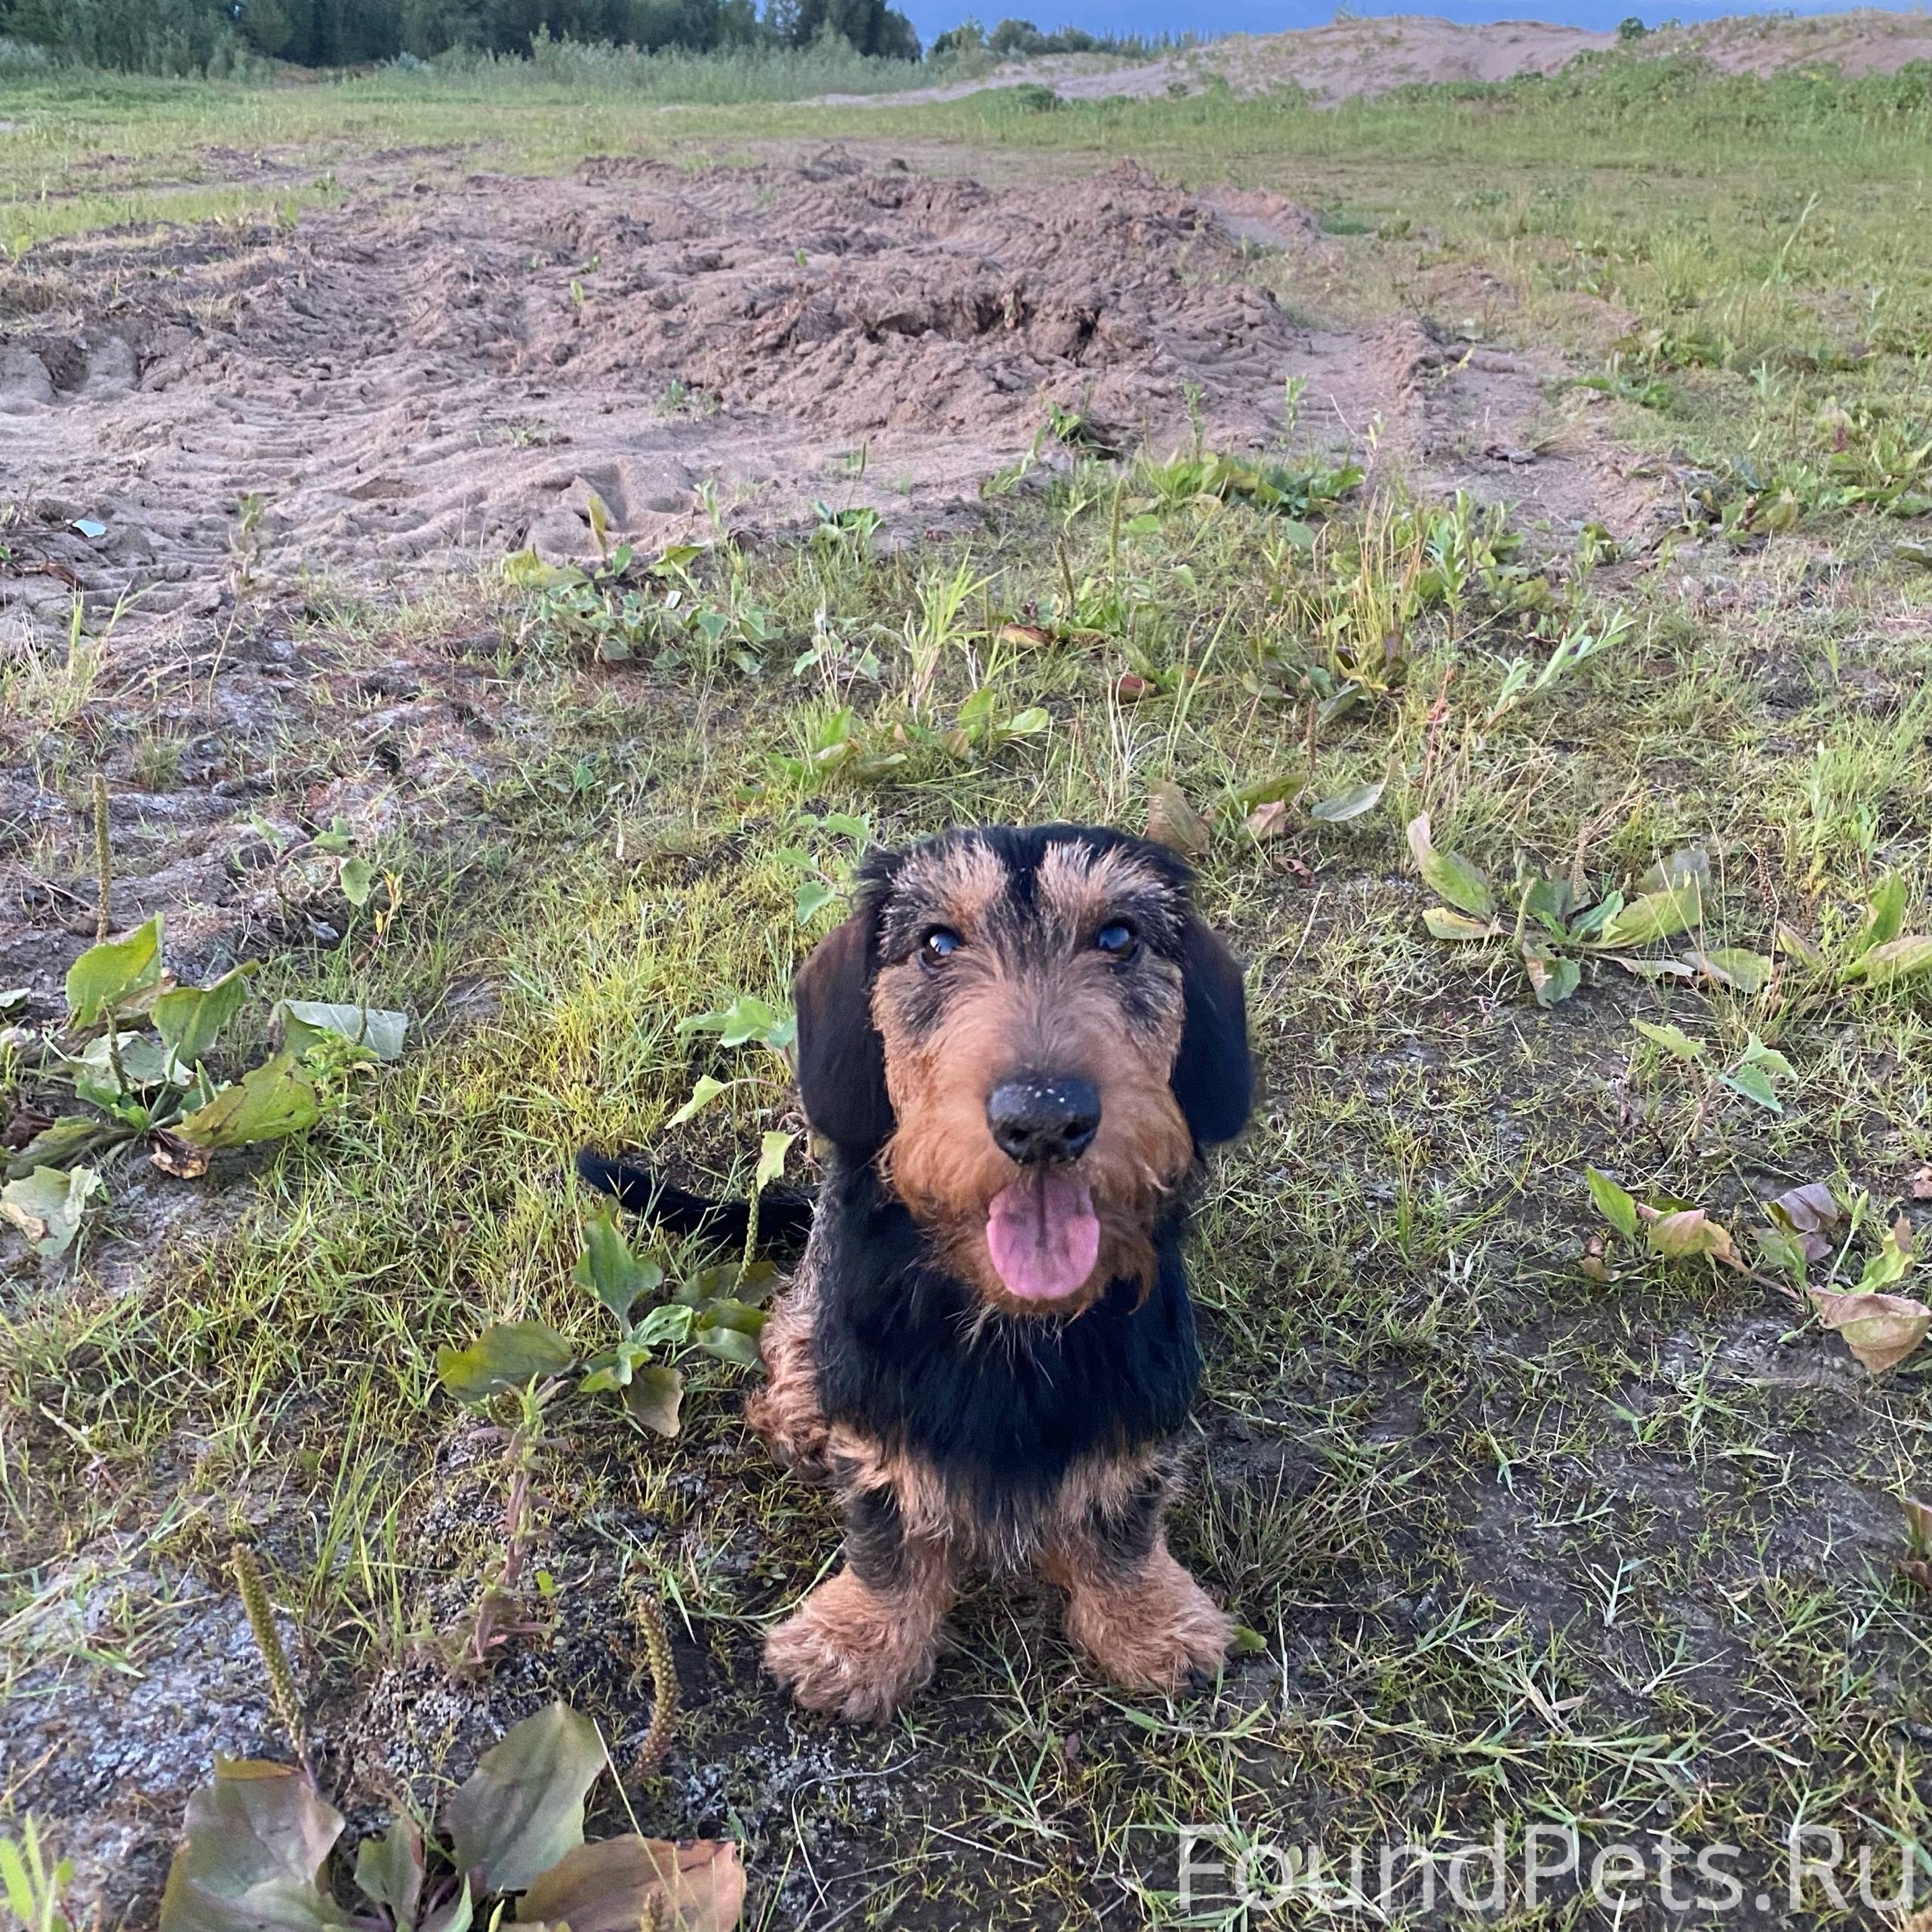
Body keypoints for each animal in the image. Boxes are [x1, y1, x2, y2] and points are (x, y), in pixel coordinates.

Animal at [580, 826, 1251, 1723]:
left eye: (1118, 937)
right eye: (937, 943)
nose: (1044, 1120)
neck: (1011, 1315)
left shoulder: (1138, 1390)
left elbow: (1123, 1512)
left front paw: (1146, 1618)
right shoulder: (877, 1397)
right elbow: (886, 1527)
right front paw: (861, 1641)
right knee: (790, 1332)